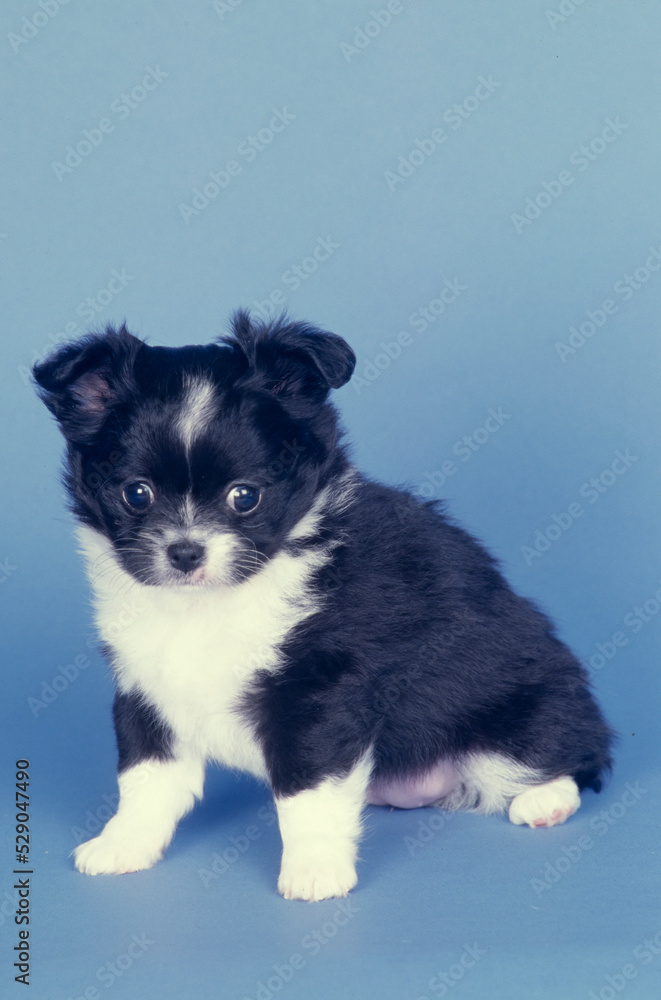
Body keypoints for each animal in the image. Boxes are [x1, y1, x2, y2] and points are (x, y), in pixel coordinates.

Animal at [34, 310, 612, 900]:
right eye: (137, 494)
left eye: (245, 497)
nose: (185, 552)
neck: (210, 603)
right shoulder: (146, 687)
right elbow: (144, 777)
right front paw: (124, 844)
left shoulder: (318, 694)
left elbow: (306, 792)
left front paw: (314, 869)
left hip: (517, 718)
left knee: (566, 757)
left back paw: (544, 799)